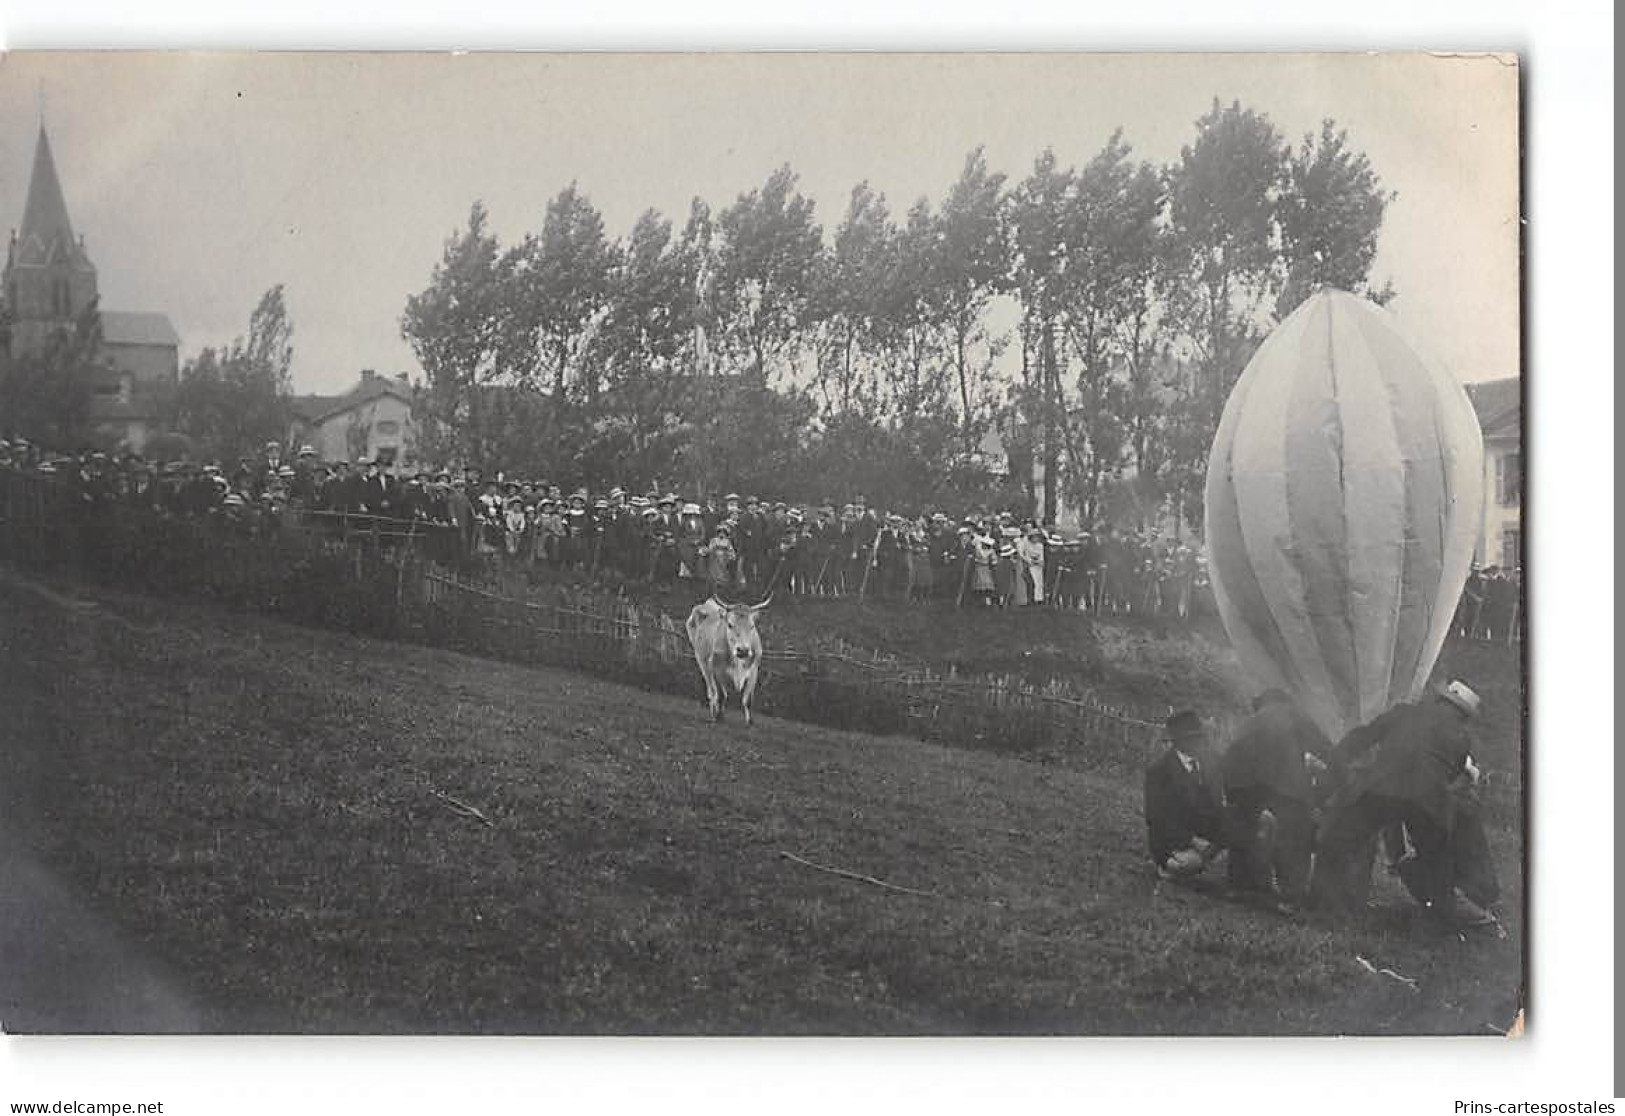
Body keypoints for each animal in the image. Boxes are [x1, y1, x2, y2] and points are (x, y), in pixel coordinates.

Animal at [679, 594, 767, 724]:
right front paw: (719, 716)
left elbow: (748, 700)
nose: (743, 650)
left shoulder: (754, 669)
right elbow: (721, 695)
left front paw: (749, 721)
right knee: (711, 690)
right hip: (702, 662)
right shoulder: (716, 669)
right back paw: (713, 712)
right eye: (730, 625)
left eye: (752, 626)